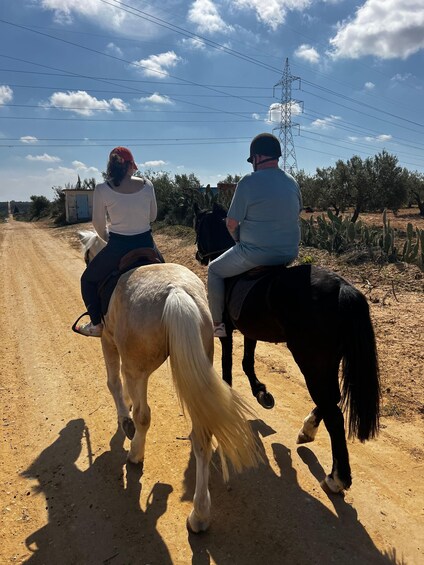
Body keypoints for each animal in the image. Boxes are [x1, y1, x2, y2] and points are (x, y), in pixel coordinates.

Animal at [77, 230, 260, 532]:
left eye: (87, 257)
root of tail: (177, 292)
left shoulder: (107, 341)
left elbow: (113, 384)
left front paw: (124, 420)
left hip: (137, 368)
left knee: (143, 415)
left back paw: (135, 454)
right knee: (202, 435)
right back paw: (199, 516)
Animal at [193, 204, 380, 494]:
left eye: (197, 226)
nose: (199, 256)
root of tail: (342, 289)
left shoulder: (227, 331)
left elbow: (228, 365)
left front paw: (228, 395)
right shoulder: (249, 331)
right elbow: (247, 361)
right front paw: (261, 392)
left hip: (311, 362)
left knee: (333, 412)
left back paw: (337, 478)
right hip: (327, 361)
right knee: (332, 399)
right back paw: (307, 430)